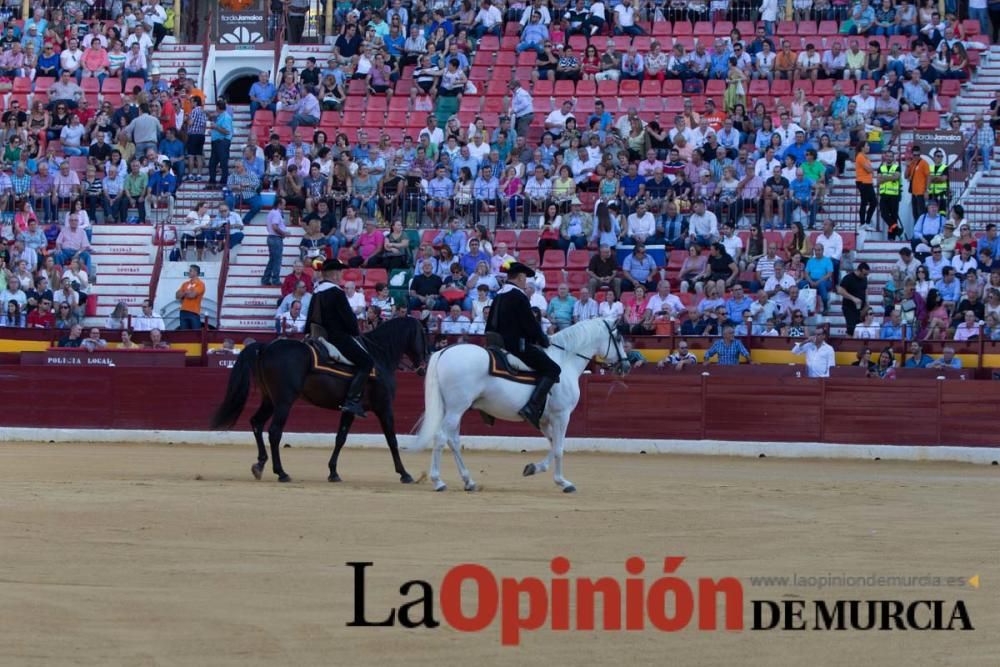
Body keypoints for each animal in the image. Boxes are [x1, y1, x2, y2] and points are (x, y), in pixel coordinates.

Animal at [209, 316, 428, 482]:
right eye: (424, 333)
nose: (423, 367)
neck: (379, 356)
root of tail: (265, 347)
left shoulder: (350, 409)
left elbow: (341, 438)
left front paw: (333, 472)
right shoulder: (384, 407)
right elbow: (392, 439)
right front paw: (405, 473)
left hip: (269, 400)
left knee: (256, 423)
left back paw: (260, 465)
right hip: (284, 402)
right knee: (274, 431)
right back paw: (281, 472)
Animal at [418, 316, 628, 494]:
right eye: (618, 337)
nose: (626, 365)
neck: (565, 360)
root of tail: (444, 351)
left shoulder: (543, 420)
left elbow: (553, 443)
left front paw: (533, 468)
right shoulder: (561, 415)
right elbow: (559, 448)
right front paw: (563, 482)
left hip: (453, 410)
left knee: (453, 440)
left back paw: (469, 481)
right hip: (456, 409)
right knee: (440, 437)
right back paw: (438, 481)